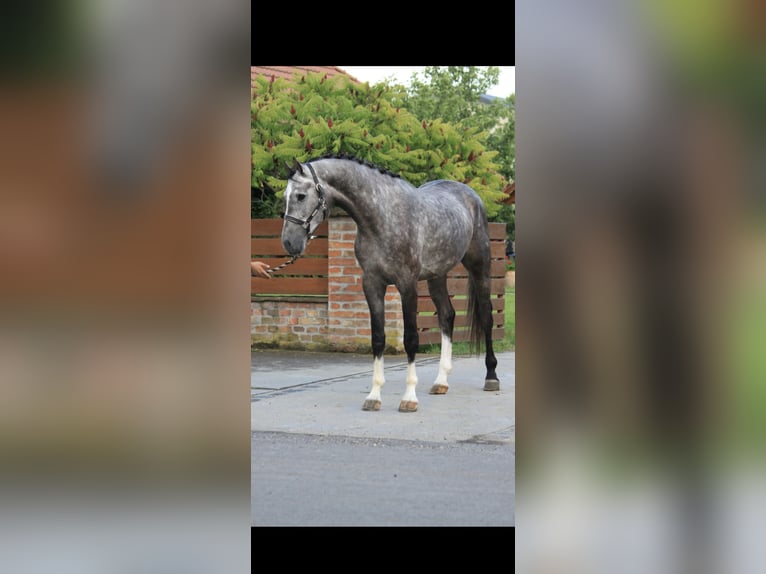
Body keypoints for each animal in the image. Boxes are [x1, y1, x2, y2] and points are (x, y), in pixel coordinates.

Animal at [281, 154, 500, 412]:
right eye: (285, 195)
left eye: (300, 196)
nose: (289, 243)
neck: (383, 218)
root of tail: (469, 194)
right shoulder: (372, 284)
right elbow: (378, 339)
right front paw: (374, 396)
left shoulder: (407, 285)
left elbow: (411, 339)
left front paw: (409, 398)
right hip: (437, 276)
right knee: (447, 316)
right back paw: (441, 381)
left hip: (480, 267)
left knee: (486, 317)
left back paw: (491, 377)